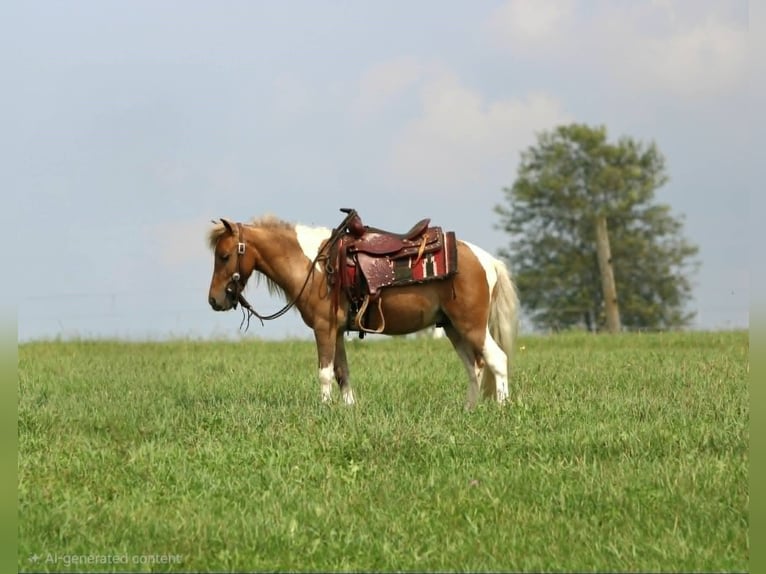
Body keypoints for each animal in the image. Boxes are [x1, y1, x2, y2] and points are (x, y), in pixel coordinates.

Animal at [206, 211, 519, 408]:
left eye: (224, 256)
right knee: (474, 367)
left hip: (472, 325)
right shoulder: (337, 330)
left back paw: (501, 408)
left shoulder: (324, 328)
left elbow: (324, 372)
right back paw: (469, 409)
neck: (316, 266)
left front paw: (324, 409)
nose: (214, 301)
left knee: (496, 359)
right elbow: (342, 372)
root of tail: (487, 260)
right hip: (454, 327)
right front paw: (348, 409)